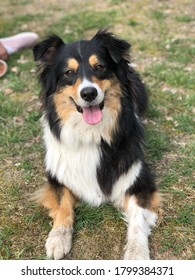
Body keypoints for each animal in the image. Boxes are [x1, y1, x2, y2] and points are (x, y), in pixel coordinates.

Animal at [33, 29, 160, 260]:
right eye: (68, 72)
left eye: (100, 67)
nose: (89, 93)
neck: (91, 134)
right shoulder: (57, 175)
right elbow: (63, 203)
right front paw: (58, 238)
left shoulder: (139, 179)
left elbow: (138, 220)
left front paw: (136, 253)